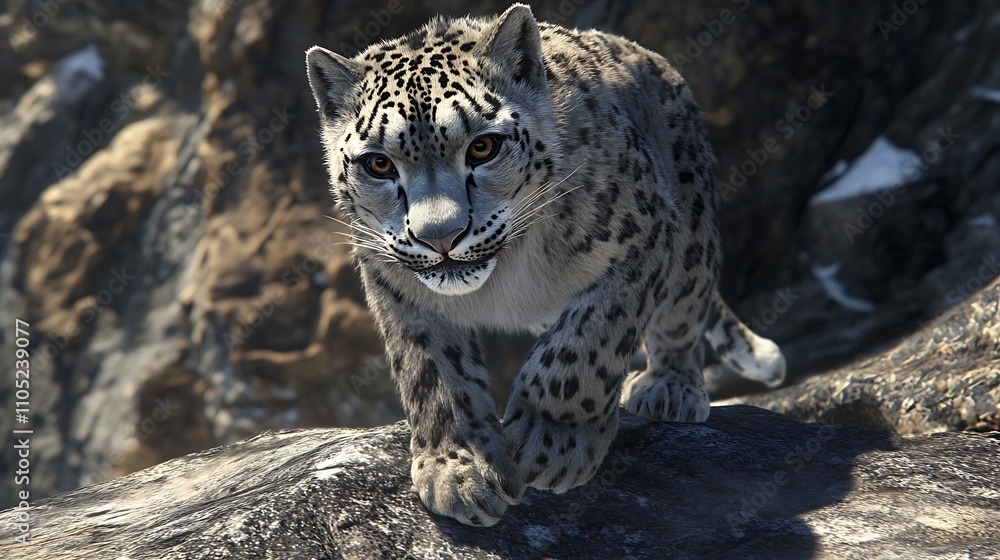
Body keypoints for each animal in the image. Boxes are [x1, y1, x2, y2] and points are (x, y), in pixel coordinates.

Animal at [305, 4, 785, 527]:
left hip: (692, 230)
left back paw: (670, 388)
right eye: (378, 164)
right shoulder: (396, 283)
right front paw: (459, 470)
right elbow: (432, 372)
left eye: (483, 147)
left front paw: (551, 443)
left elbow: (585, 344)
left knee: (684, 312)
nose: (439, 237)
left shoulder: (641, 240)